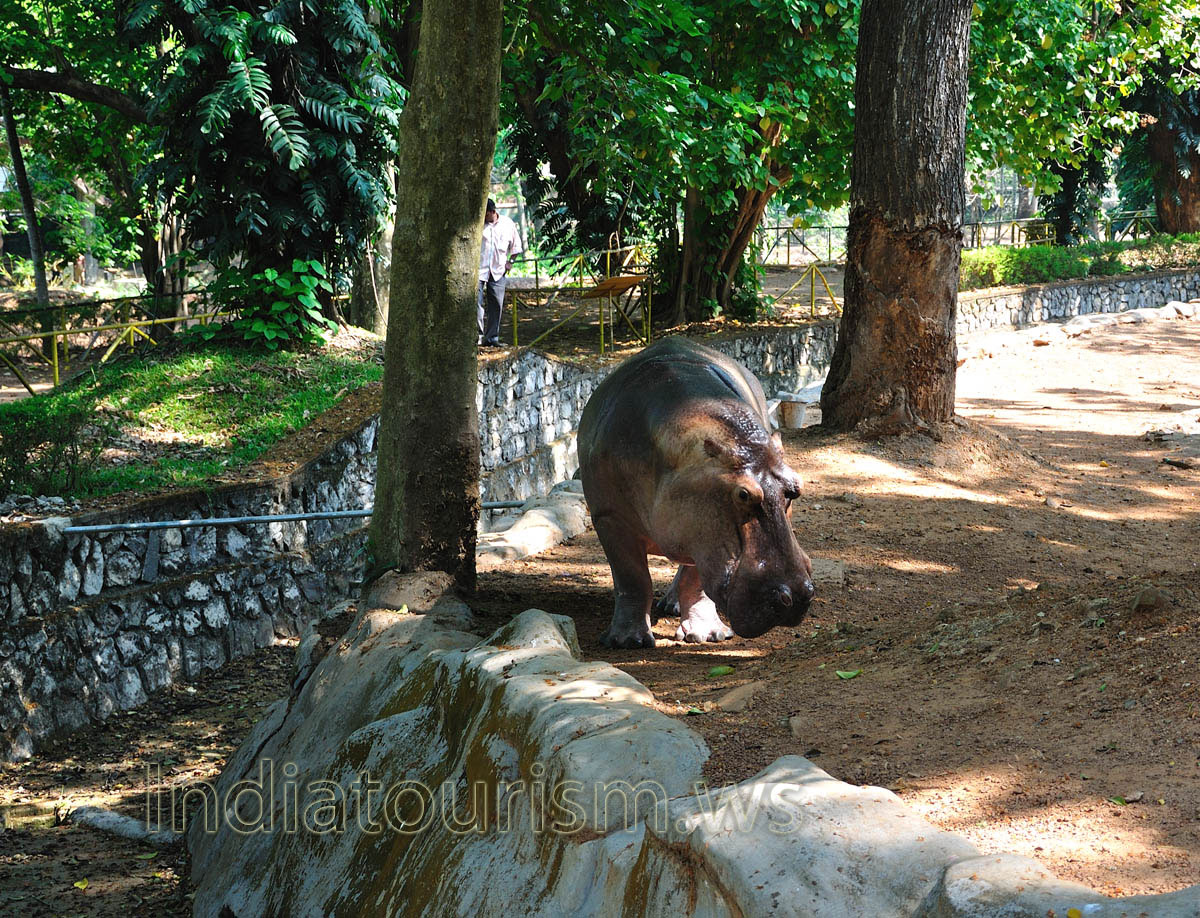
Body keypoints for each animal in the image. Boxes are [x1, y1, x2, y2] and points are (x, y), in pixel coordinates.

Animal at [577, 336, 815, 649]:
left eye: (795, 488)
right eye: (743, 494)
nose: (797, 596)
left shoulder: (702, 534)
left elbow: (696, 581)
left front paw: (709, 635)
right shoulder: (610, 516)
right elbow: (632, 578)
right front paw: (627, 642)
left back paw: (674, 606)